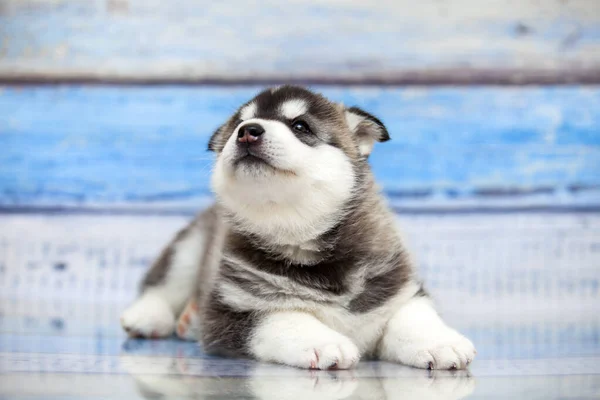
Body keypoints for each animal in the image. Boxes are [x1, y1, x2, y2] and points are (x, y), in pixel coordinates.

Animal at [122, 86, 476, 370]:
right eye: (238, 124)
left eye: (300, 126)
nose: (248, 131)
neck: (298, 234)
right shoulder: (232, 312)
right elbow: (285, 317)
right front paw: (323, 342)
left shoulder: (396, 289)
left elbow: (412, 315)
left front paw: (440, 342)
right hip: (191, 247)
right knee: (162, 284)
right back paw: (148, 317)